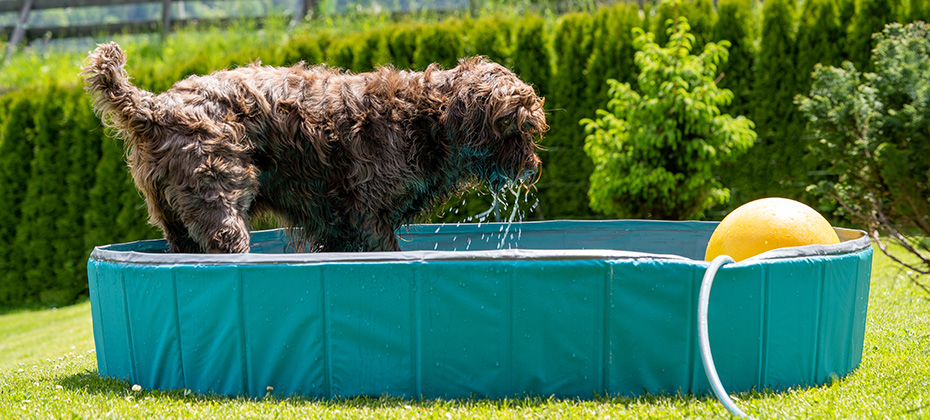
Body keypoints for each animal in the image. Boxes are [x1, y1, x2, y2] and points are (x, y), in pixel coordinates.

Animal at [81, 41, 544, 253]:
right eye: (515, 127)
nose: (531, 167)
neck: (425, 119)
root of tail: (155, 105)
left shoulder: (337, 225)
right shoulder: (369, 215)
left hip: (171, 215)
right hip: (217, 194)